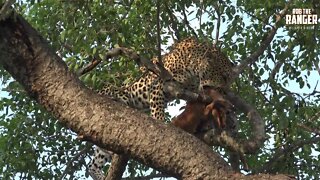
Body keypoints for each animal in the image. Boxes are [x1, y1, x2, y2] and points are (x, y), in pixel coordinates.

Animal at [89, 37, 234, 179]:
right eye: (224, 77)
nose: (225, 92)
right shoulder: (160, 86)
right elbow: (158, 111)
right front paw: (161, 125)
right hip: (120, 95)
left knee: (94, 162)